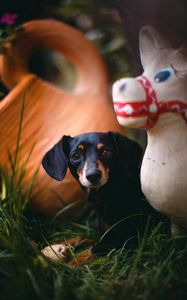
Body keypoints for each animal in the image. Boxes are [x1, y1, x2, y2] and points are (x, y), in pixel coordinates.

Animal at [41, 132, 152, 264]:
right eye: (75, 156)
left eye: (106, 152)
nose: (93, 175)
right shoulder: (103, 233)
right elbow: (82, 236)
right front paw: (59, 245)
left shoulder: (126, 237)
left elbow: (91, 250)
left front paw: (70, 264)